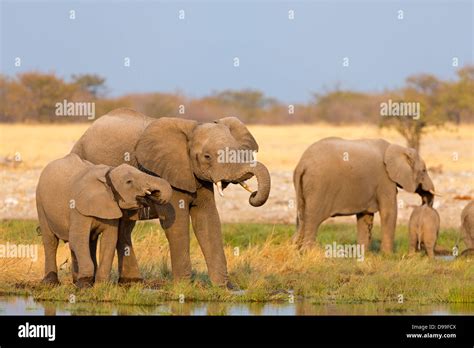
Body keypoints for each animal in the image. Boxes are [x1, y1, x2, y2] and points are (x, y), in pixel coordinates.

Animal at [36, 154, 172, 286]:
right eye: (129, 182)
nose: (154, 194)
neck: (108, 173)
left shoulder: (111, 208)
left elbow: (109, 241)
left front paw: (101, 284)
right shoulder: (77, 208)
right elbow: (78, 239)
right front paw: (84, 285)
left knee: (89, 242)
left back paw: (76, 280)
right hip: (40, 203)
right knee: (51, 241)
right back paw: (51, 283)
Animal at [70, 109, 270, 288]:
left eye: (238, 152)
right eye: (207, 156)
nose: (253, 195)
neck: (193, 128)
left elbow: (208, 220)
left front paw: (224, 288)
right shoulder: (167, 171)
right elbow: (177, 223)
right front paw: (183, 287)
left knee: (124, 228)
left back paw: (132, 283)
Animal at [294, 138, 438, 253]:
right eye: (424, 171)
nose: (426, 202)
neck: (397, 148)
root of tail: (302, 164)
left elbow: (366, 216)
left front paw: (364, 255)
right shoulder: (385, 180)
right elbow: (389, 212)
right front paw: (388, 256)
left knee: (301, 218)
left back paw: (296, 250)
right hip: (318, 188)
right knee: (312, 220)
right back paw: (308, 252)